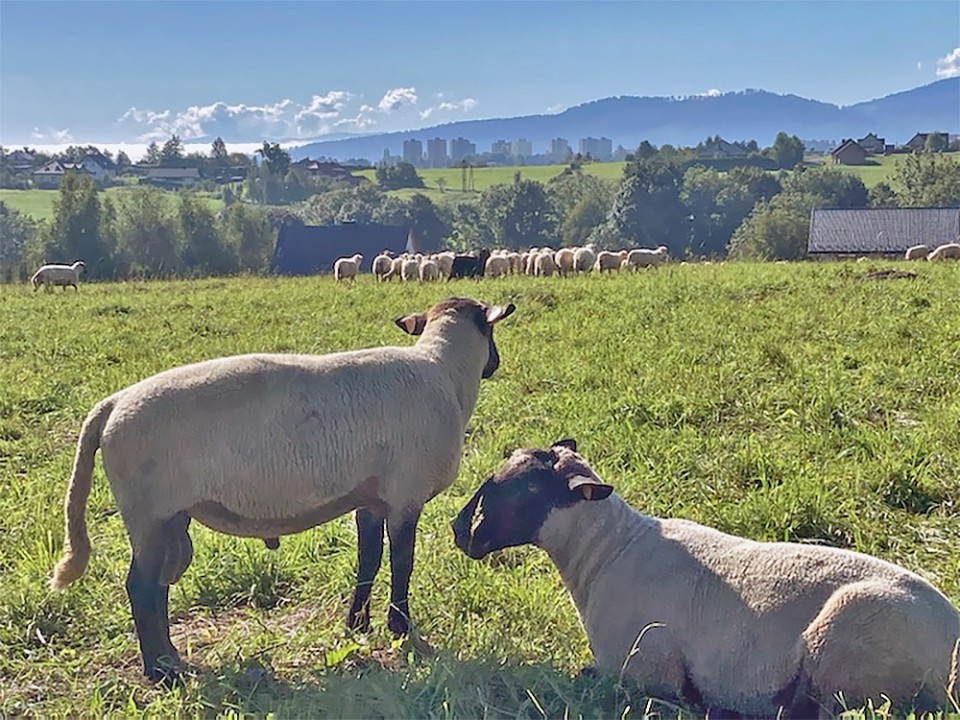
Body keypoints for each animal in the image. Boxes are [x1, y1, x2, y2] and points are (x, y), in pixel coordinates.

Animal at [50, 296, 516, 684]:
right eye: (493, 335)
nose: (495, 364)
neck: (444, 373)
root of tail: (111, 406)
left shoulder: (371, 498)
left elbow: (367, 559)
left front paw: (356, 625)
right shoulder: (406, 494)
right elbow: (403, 564)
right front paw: (401, 630)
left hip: (166, 517)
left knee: (156, 589)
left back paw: (172, 660)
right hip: (149, 512)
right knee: (141, 589)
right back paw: (162, 672)